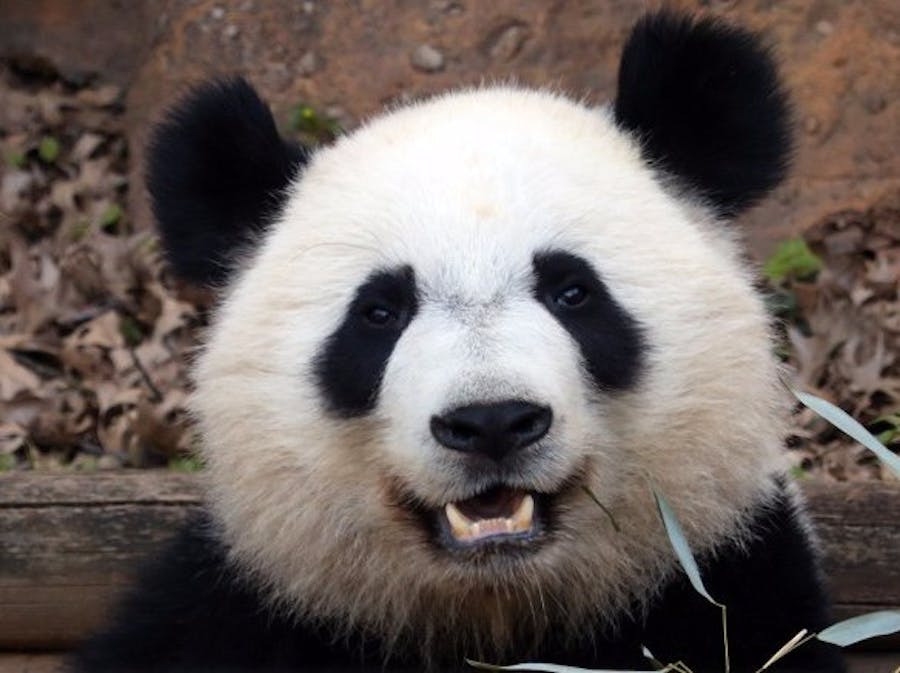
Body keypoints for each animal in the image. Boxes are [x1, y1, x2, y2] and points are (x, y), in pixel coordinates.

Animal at [73, 11, 845, 673]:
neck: (495, 610)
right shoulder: (249, 607)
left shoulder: (729, 578)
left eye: (572, 292)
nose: (492, 421)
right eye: (380, 312)